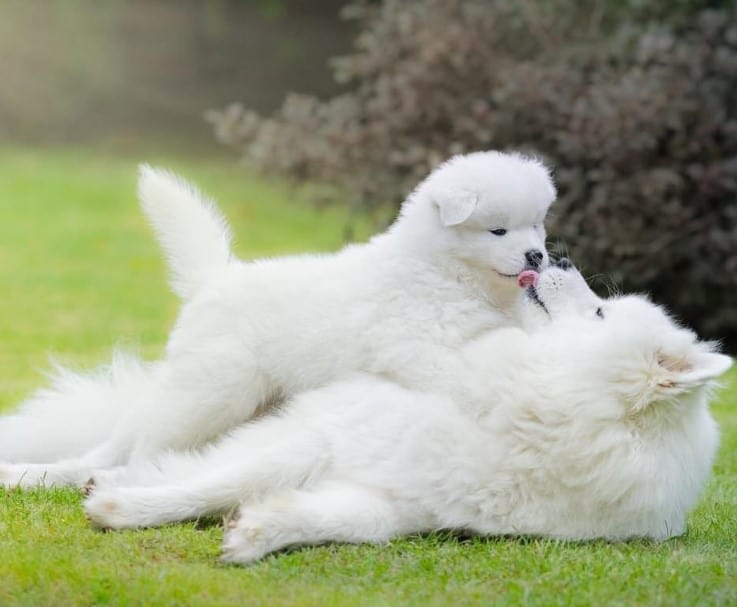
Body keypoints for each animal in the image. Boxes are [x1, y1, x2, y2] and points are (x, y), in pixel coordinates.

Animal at [0, 153, 552, 484]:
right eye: (498, 230)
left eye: (538, 225)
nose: (537, 256)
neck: (447, 271)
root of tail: (214, 280)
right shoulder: (411, 346)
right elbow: (456, 375)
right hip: (212, 391)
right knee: (147, 446)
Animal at [82, 266, 732, 564]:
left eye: (599, 313)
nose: (560, 259)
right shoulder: (321, 435)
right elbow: (210, 484)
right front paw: (124, 507)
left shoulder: (403, 503)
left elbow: (332, 521)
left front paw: (256, 534)